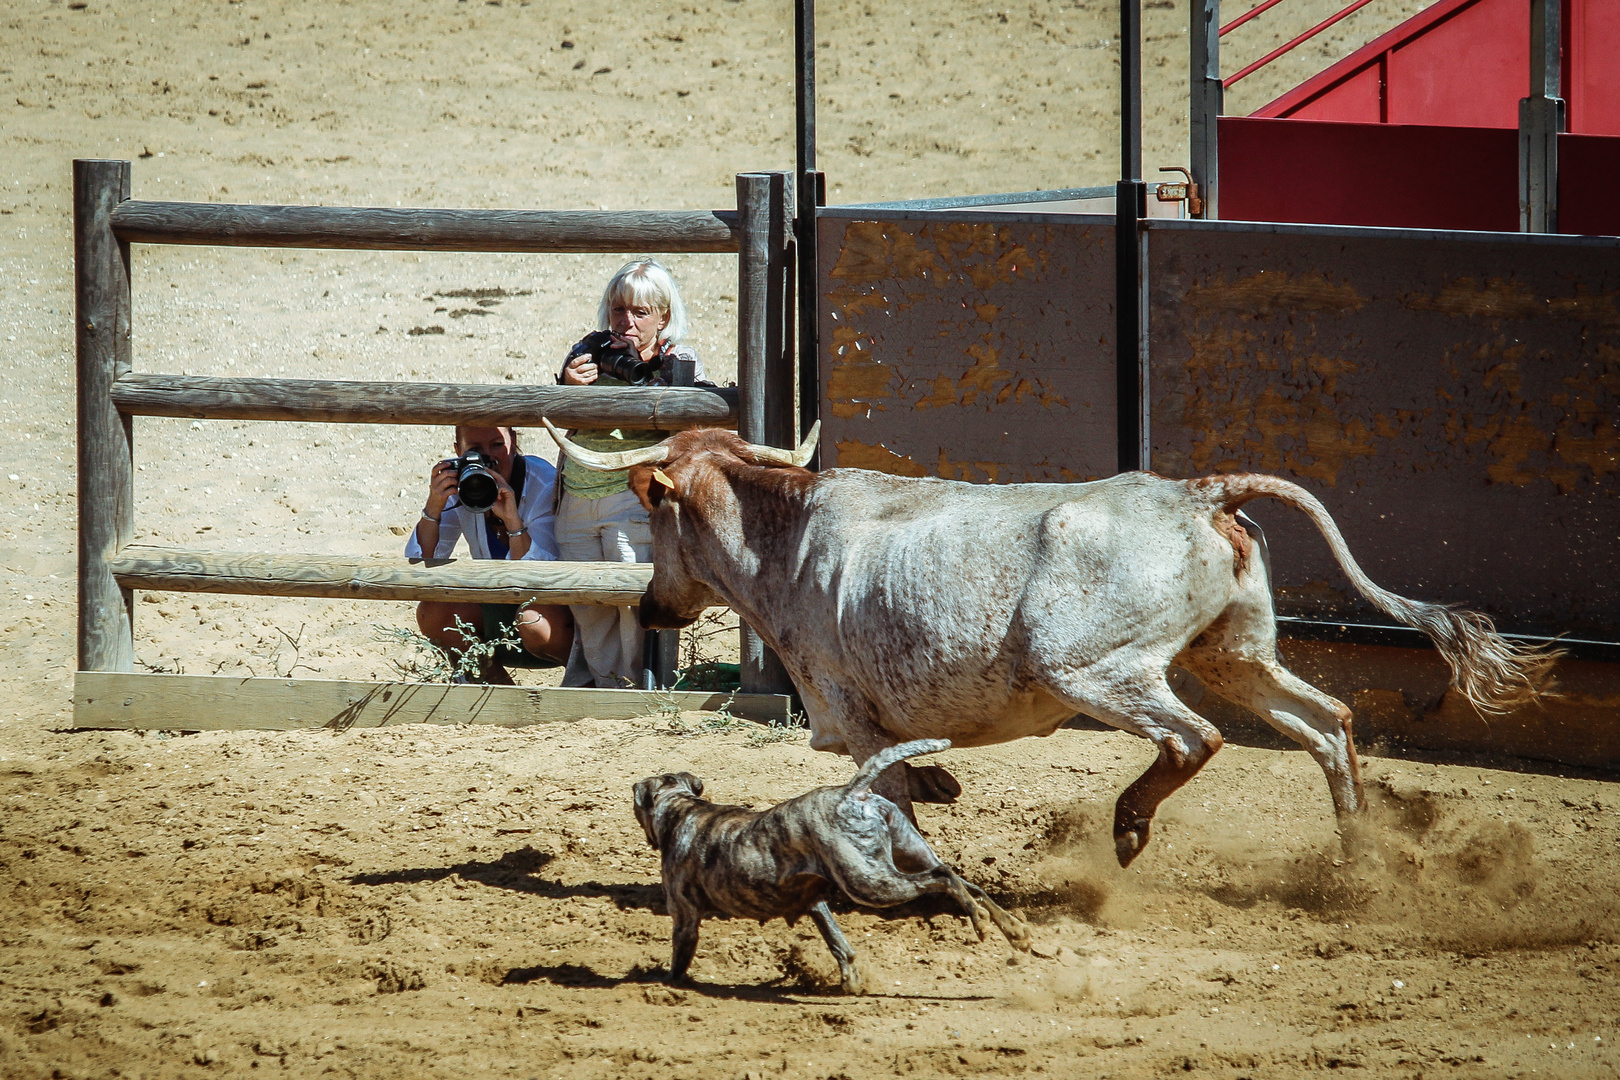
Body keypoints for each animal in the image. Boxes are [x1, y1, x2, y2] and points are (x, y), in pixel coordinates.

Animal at [544, 417, 1555, 867]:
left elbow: (892, 794)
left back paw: (1131, 825)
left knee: (1195, 737)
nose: (652, 607)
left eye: (654, 510)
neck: (786, 538)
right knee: (1327, 722)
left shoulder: (853, 721)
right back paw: (1355, 859)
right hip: (1235, 654)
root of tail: (1197, 492)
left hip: (1095, 671)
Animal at [628, 738, 1023, 990]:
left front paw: (662, 985)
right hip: (908, 853)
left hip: (870, 882)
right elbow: (839, 944)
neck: (682, 808)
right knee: (966, 883)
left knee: (942, 877)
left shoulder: (684, 917)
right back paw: (1013, 930)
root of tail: (854, 792)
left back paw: (981, 922)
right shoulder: (815, 902)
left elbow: (678, 960)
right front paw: (850, 981)